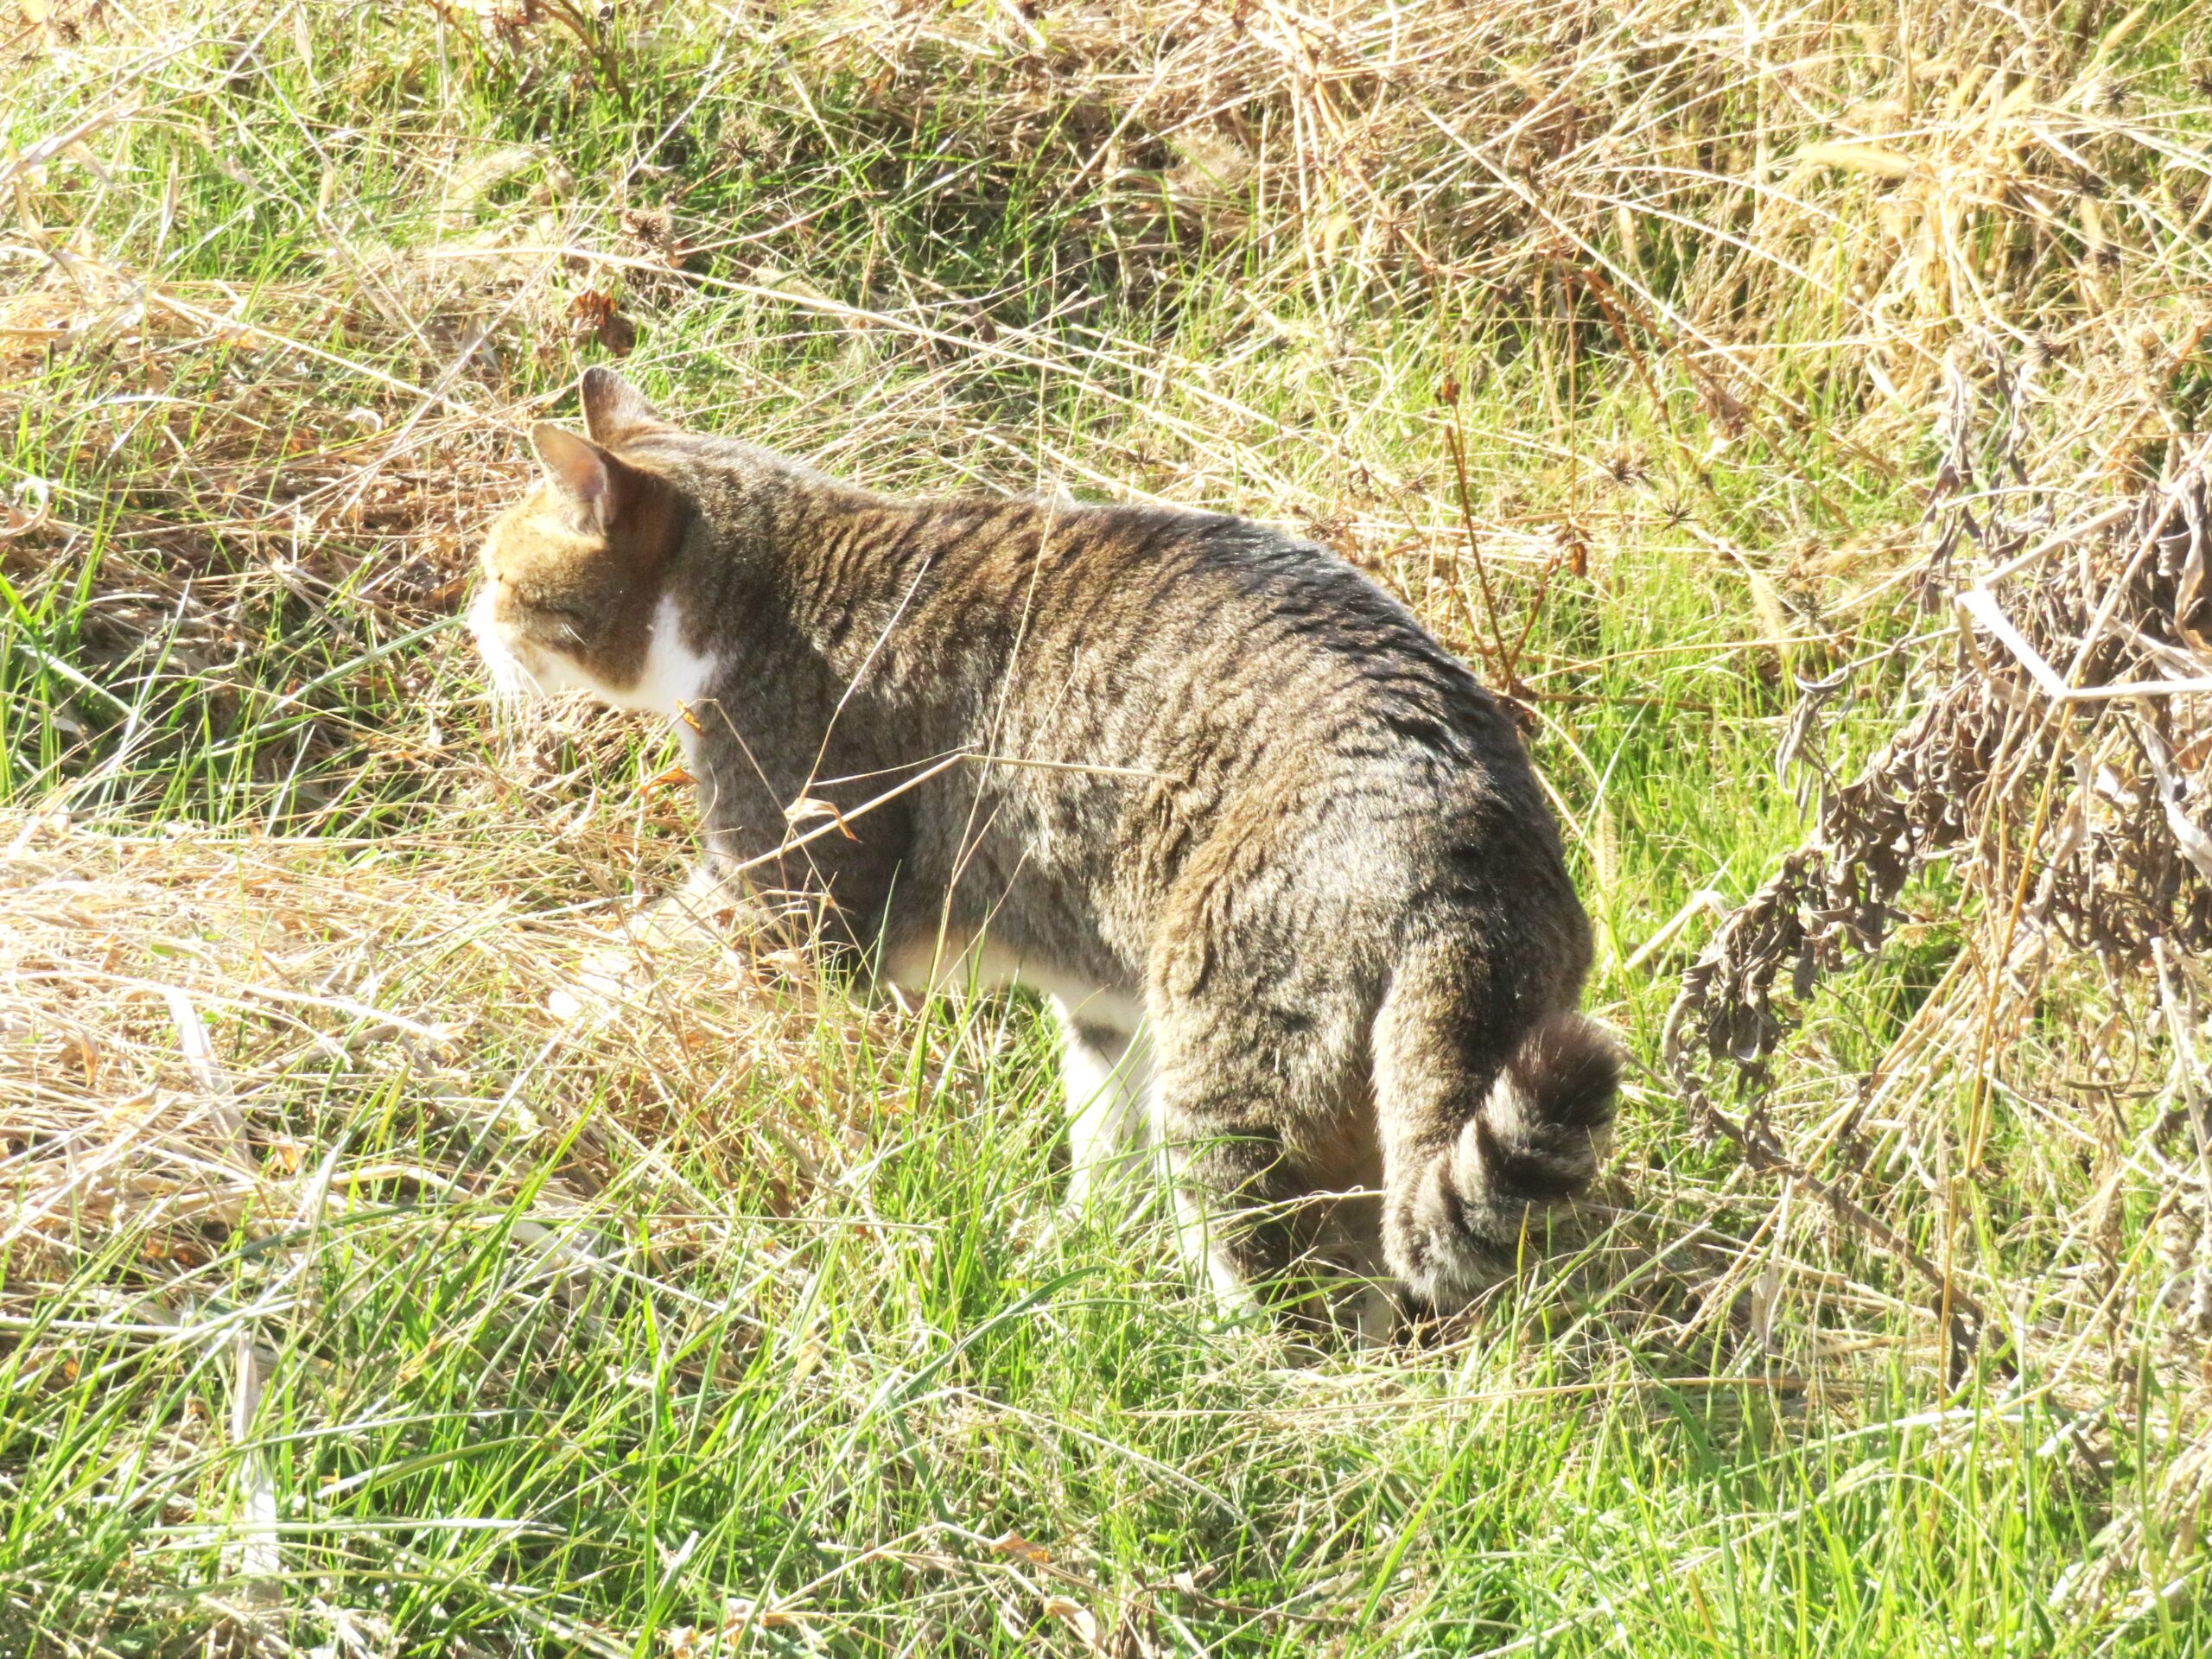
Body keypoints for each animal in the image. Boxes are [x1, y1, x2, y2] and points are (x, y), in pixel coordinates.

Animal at [475, 369, 1618, 1344]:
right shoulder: (1101, 1000)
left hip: (1228, 1063)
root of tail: (1462, 848)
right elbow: (1101, 1143)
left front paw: (552, 1008)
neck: (760, 587)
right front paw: (1076, 1242)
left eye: (499, 577)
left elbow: (642, 956)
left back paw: (1209, 1373)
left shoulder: (792, 890)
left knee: (1295, 1303)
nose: (467, 619)